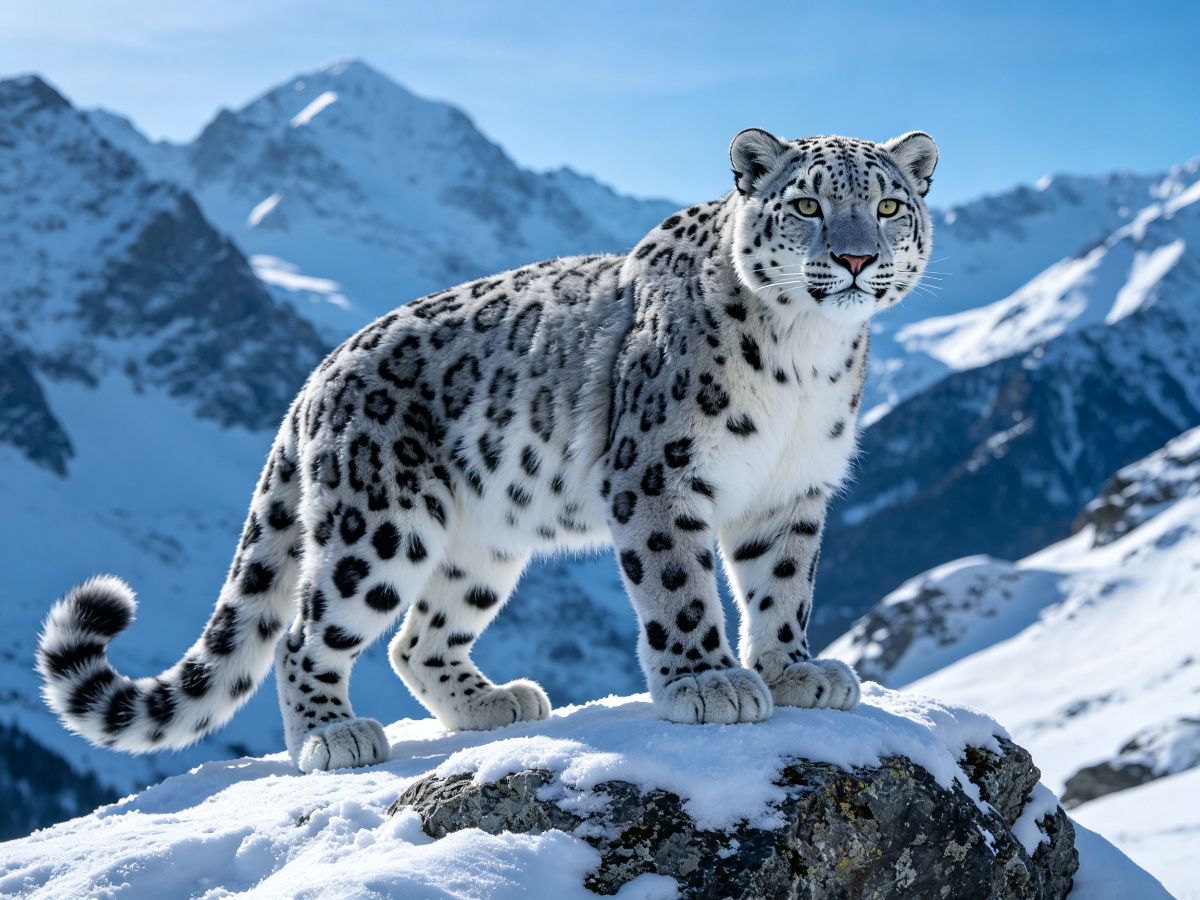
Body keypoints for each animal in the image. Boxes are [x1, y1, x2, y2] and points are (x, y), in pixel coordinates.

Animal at [38, 128, 938, 773]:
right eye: (809, 206)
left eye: (890, 206)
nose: (856, 255)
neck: (808, 356)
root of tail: (317, 374)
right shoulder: (658, 474)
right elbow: (681, 586)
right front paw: (708, 682)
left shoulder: (792, 491)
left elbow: (783, 587)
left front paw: (795, 672)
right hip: (378, 527)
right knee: (304, 633)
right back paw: (334, 739)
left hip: (484, 544)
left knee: (416, 638)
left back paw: (492, 703)